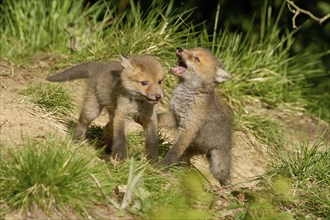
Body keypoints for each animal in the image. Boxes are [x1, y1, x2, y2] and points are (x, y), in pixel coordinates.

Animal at [159, 47, 233, 185]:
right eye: (190, 50)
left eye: (196, 59)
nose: (180, 49)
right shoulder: (173, 117)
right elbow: (157, 118)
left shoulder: (188, 129)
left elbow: (173, 152)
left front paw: (161, 166)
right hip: (190, 150)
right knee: (185, 164)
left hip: (218, 168)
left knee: (226, 179)